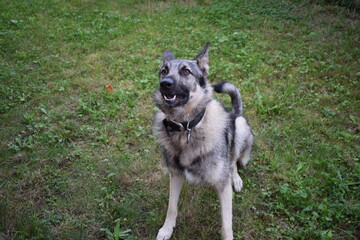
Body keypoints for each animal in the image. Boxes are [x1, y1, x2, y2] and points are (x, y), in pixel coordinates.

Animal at [154, 43, 253, 240]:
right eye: (164, 71)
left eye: (186, 71)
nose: (164, 84)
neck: (186, 128)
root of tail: (235, 112)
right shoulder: (175, 174)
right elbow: (171, 207)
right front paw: (167, 229)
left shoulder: (223, 185)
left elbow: (226, 224)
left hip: (239, 128)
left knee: (233, 162)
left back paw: (236, 178)